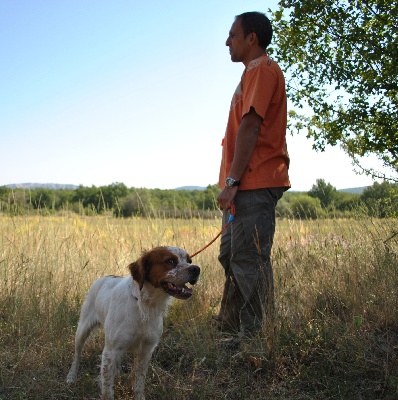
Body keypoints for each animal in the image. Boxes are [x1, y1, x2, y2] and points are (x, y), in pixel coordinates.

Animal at [67, 247, 202, 400]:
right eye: (170, 261)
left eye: (189, 261)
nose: (196, 269)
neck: (144, 306)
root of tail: (105, 277)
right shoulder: (111, 350)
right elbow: (107, 389)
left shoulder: (146, 350)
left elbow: (139, 383)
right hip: (82, 330)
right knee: (77, 355)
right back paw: (71, 376)